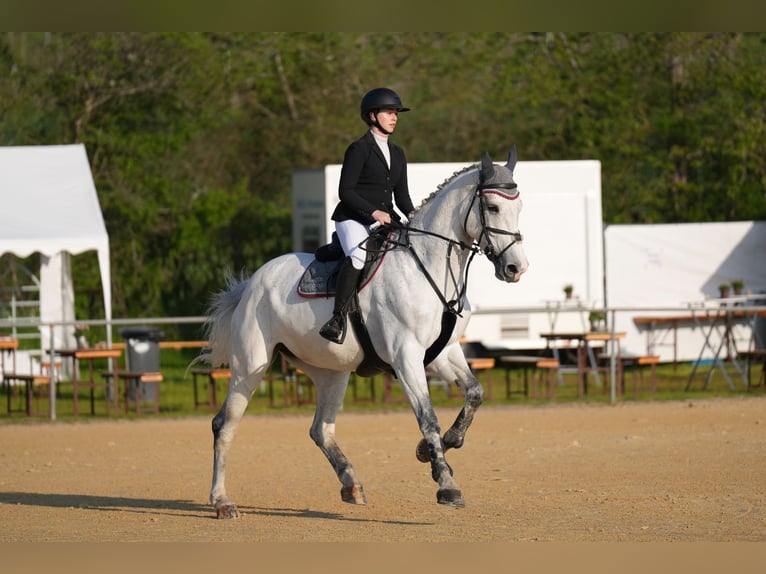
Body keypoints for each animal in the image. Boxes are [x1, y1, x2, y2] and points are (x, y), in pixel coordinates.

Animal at [199, 148, 529, 518]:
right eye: (493, 207)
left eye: (519, 206)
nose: (516, 268)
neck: (430, 267)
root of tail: (252, 282)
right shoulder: (406, 356)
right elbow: (427, 418)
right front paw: (446, 483)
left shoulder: (443, 352)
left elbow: (475, 393)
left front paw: (437, 447)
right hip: (250, 364)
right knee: (225, 425)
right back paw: (222, 501)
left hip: (330, 372)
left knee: (320, 429)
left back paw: (351, 483)